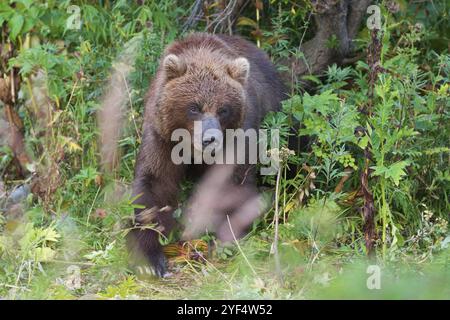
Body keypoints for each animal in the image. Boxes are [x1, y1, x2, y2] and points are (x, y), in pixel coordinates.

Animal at [128, 33, 286, 278]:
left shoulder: (239, 135)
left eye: (223, 109)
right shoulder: (161, 136)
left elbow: (232, 184)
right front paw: (149, 258)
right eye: (194, 107)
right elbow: (154, 185)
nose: (210, 139)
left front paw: (224, 240)